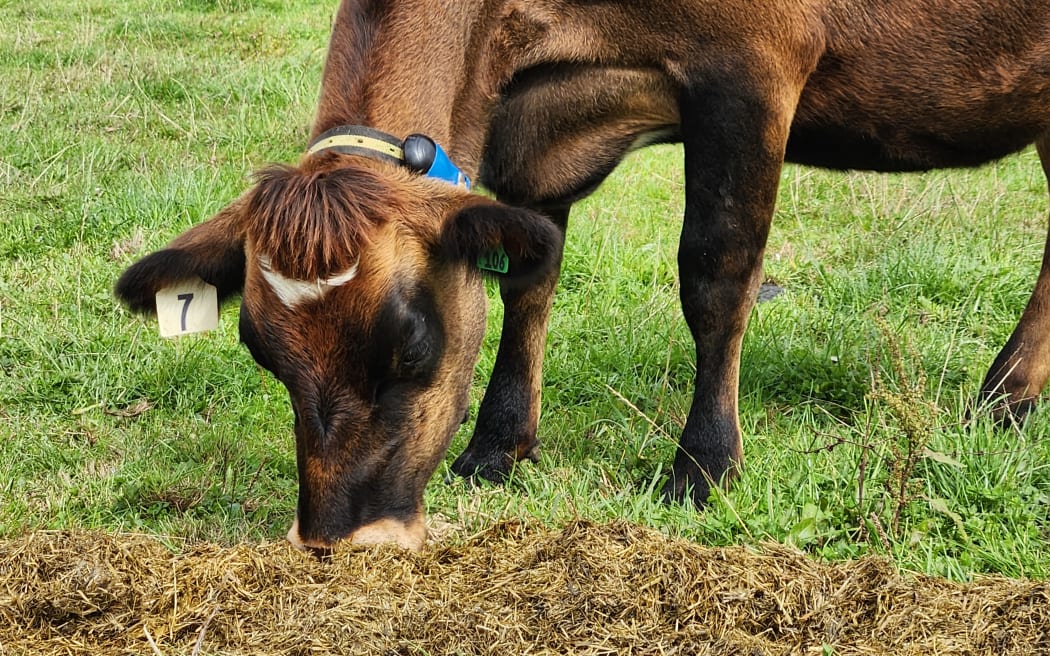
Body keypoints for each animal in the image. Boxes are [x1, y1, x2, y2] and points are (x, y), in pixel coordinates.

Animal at [116, 0, 1050, 552]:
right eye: (263, 354)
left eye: (412, 350)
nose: (339, 537)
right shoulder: (535, 126)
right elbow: (527, 278)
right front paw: (498, 444)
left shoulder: (753, 63)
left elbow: (716, 275)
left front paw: (703, 467)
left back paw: (1003, 396)